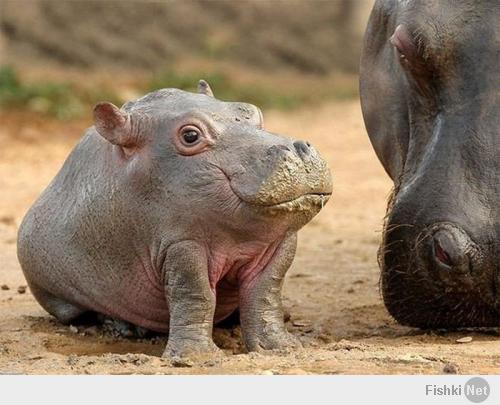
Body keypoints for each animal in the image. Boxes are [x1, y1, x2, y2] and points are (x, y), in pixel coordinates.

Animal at [17, 81, 334, 356]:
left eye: (252, 110)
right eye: (190, 135)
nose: (298, 148)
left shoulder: (278, 244)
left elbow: (265, 294)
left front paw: (281, 347)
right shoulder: (181, 245)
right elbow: (195, 295)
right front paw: (197, 356)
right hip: (57, 292)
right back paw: (126, 328)